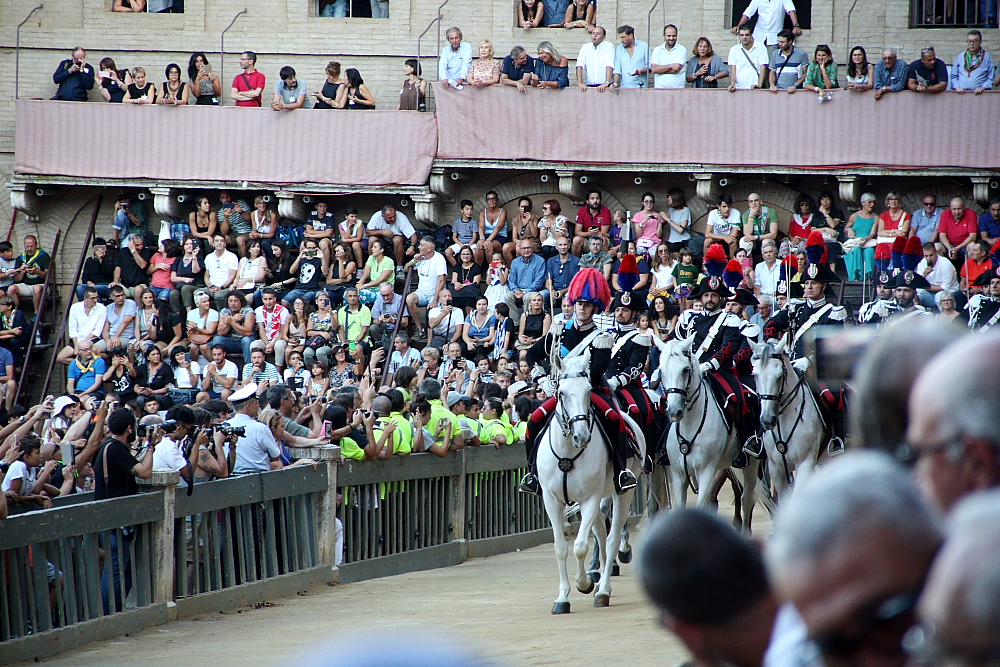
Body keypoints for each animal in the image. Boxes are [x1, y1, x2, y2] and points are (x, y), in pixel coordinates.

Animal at [536, 350, 644, 616]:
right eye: (561, 392)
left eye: (588, 391)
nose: (582, 436)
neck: (568, 453)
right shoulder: (551, 501)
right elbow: (561, 548)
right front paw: (562, 598)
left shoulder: (590, 499)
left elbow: (580, 546)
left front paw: (583, 583)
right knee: (601, 533)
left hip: (621, 493)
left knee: (612, 537)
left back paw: (603, 590)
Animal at [652, 336, 760, 536]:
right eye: (661, 371)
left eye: (685, 370)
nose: (674, 412)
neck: (690, 424)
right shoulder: (679, 475)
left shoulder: (706, 472)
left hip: (752, 463)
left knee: (747, 499)